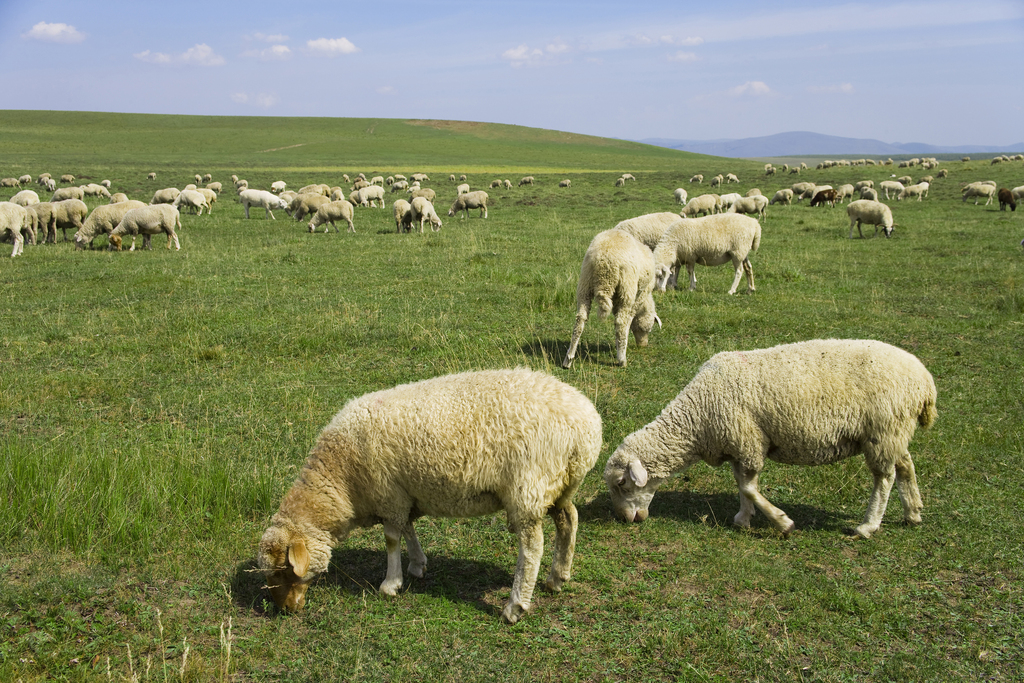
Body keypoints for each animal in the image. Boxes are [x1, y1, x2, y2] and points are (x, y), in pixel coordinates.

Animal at [256, 368, 602, 626]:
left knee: (532, 547)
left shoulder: (388, 494)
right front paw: (417, 564)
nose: (285, 610)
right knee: (569, 520)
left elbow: (391, 539)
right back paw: (558, 577)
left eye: (285, 570)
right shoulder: (403, 493)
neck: (341, 478)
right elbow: (408, 530)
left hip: (528, 486)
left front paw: (390, 584)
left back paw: (515, 605)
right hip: (559, 485)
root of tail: (586, 424)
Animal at [561, 228, 663, 368]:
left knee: (580, 320)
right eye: (649, 329)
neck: (645, 300)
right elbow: (627, 322)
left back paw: (568, 359)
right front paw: (622, 346)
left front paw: (618, 344)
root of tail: (605, 260)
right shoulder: (638, 296)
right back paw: (622, 360)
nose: (643, 345)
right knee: (621, 322)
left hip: (585, 284)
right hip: (627, 288)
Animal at [606, 337, 937, 540]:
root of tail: (925, 380)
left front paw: (782, 523)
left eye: (622, 483)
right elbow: (742, 486)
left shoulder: (748, 441)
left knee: (885, 478)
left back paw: (868, 525)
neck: (697, 417)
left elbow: (749, 488)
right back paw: (913, 513)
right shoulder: (737, 444)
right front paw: (743, 518)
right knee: (905, 465)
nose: (623, 519)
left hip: (883, 430)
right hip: (894, 431)